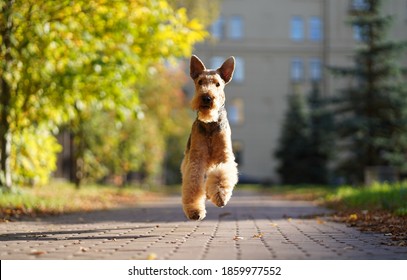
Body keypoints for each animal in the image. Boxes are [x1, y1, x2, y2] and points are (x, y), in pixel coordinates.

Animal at [182, 55, 239, 221]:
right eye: (200, 81)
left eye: (217, 84)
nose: (207, 97)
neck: (210, 124)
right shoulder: (196, 158)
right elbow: (193, 183)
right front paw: (195, 210)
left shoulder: (224, 156)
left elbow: (221, 175)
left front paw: (221, 196)